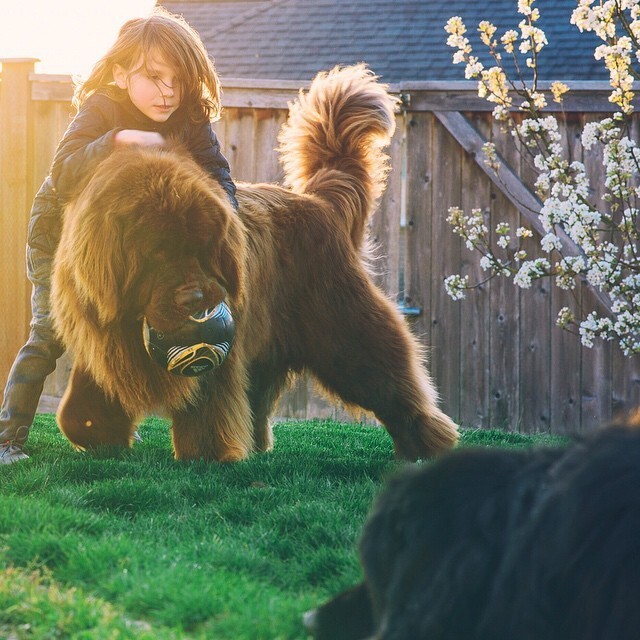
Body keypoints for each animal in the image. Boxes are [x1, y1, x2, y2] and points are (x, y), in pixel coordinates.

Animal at [52, 65, 458, 462]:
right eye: (157, 252)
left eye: (202, 249)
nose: (195, 300)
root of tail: (320, 203)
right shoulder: (102, 334)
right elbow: (85, 400)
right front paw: (98, 434)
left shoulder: (219, 351)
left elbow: (209, 404)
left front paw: (208, 456)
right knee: (259, 395)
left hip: (344, 330)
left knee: (387, 378)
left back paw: (423, 442)